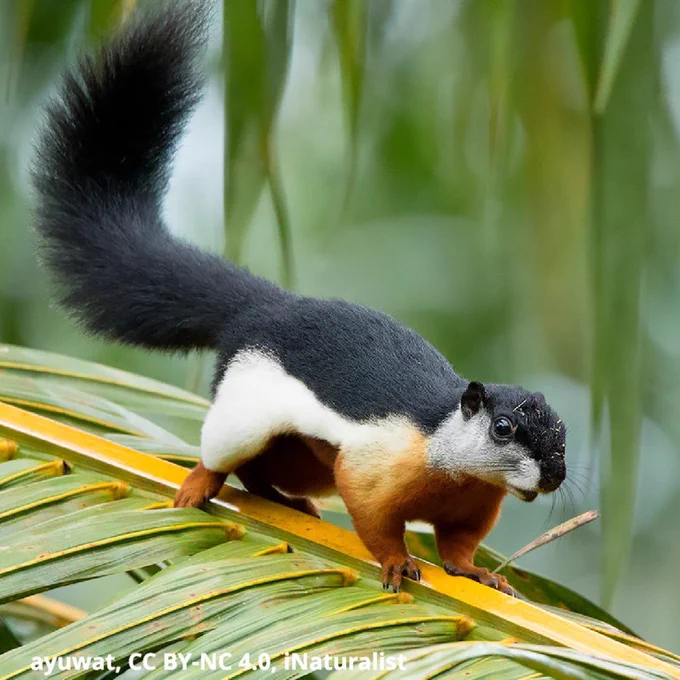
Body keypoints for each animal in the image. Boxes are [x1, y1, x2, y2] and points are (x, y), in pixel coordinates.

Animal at [31, 1, 566, 594]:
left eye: (563, 435)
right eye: (502, 428)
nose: (555, 474)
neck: (447, 457)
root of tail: (262, 305)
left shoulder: (471, 505)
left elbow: (457, 547)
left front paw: (479, 574)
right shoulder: (373, 464)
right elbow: (373, 516)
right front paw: (395, 562)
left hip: (301, 452)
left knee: (261, 471)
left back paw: (286, 501)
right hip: (244, 411)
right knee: (225, 455)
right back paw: (197, 486)